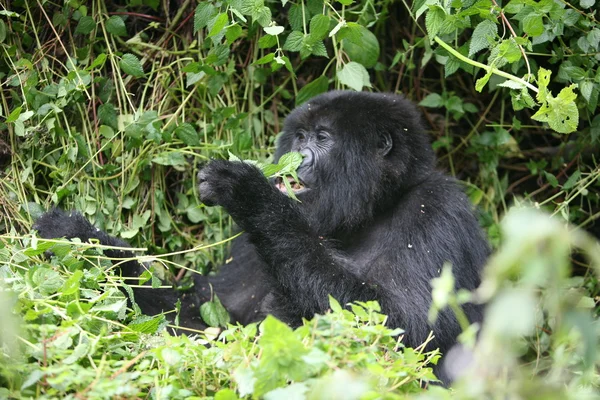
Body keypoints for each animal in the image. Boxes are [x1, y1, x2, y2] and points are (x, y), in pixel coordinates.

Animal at [34, 90, 488, 384]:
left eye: (323, 138)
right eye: (300, 137)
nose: (297, 156)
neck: (370, 211)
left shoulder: (438, 210)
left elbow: (403, 332)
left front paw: (253, 197)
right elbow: (198, 319)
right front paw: (81, 242)